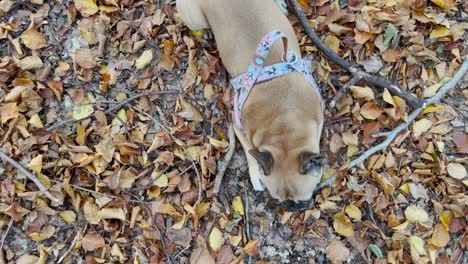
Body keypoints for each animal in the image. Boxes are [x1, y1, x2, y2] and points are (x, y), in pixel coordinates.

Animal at [177, 0, 324, 210]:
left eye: (302, 200)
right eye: (278, 199)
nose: (291, 208)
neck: (283, 122)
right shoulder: (237, 121)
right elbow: (249, 150)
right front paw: (257, 175)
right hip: (194, 18)